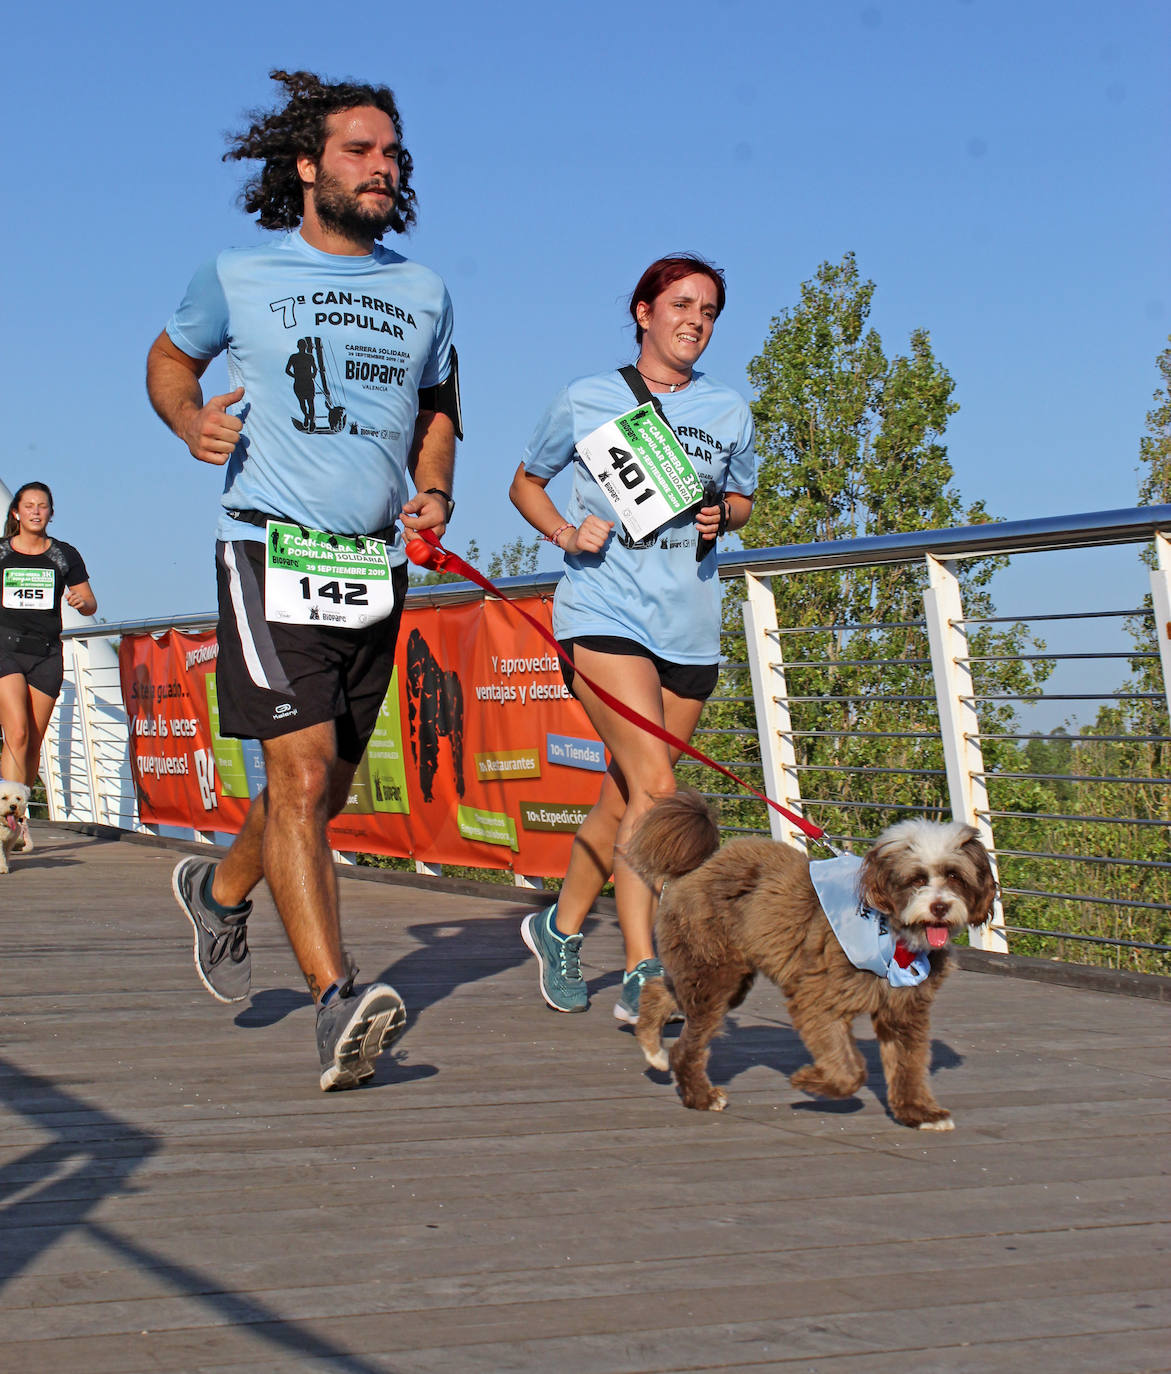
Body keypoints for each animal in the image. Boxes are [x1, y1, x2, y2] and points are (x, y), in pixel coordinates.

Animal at [626, 791, 995, 1132]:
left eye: (955, 876)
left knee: (661, 989)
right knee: (689, 1042)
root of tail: (700, 864)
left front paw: (919, 1113)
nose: (940, 907)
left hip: (717, 972)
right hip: (715, 969)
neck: (888, 930)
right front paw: (808, 1080)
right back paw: (699, 1094)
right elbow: (850, 1071)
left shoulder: (904, 1008)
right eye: (917, 879)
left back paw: (653, 1048)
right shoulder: (817, 999)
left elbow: (908, 1064)